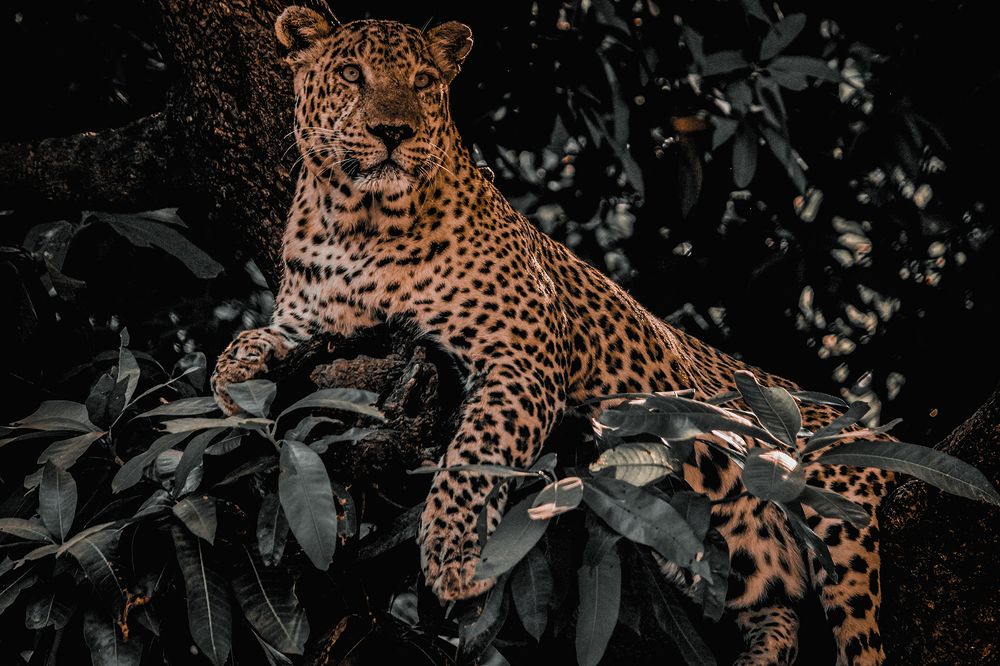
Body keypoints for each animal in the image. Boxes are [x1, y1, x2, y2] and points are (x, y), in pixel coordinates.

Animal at [211, 6, 893, 664]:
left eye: (423, 83)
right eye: (352, 75)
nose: (393, 132)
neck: (357, 221)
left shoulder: (521, 354)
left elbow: (475, 454)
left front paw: (455, 556)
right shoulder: (311, 322)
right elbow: (250, 340)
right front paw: (233, 386)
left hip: (836, 506)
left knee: (860, 636)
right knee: (778, 618)